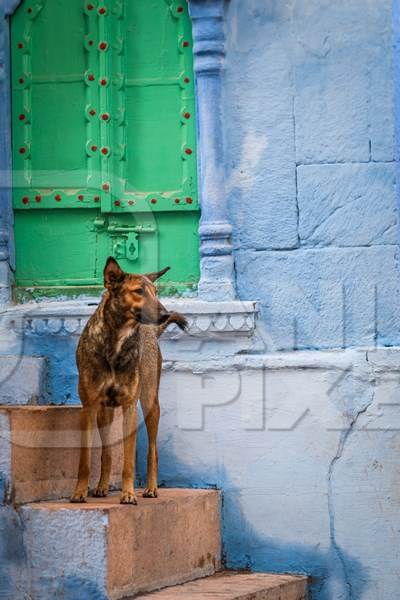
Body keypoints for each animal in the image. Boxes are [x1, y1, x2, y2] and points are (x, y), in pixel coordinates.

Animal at [70, 255, 188, 504]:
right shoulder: (88, 408)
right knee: (106, 452)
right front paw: (79, 492)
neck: (116, 340)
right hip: (104, 413)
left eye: (155, 291)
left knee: (152, 450)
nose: (164, 314)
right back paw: (102, 486)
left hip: (150, 403)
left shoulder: (130, 407)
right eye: (138, 291)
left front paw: (128, 493)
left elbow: (129, 461)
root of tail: (152, 332)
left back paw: (151, 488)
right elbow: (86, 458)